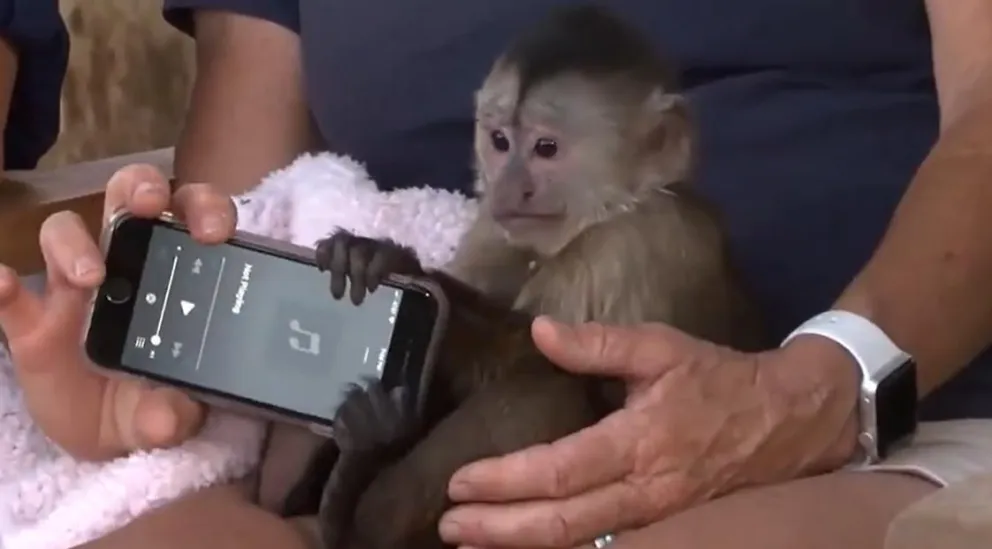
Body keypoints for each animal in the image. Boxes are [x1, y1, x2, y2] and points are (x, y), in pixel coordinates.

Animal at [283, 5, 767, 549]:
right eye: (499, 142)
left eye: (546, 148)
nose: (509, 186)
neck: (602, 216)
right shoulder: (494, 228)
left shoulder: (636, 244)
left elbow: (570, 374)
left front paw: (408, 274)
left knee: (546, 387)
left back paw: (354, 508)